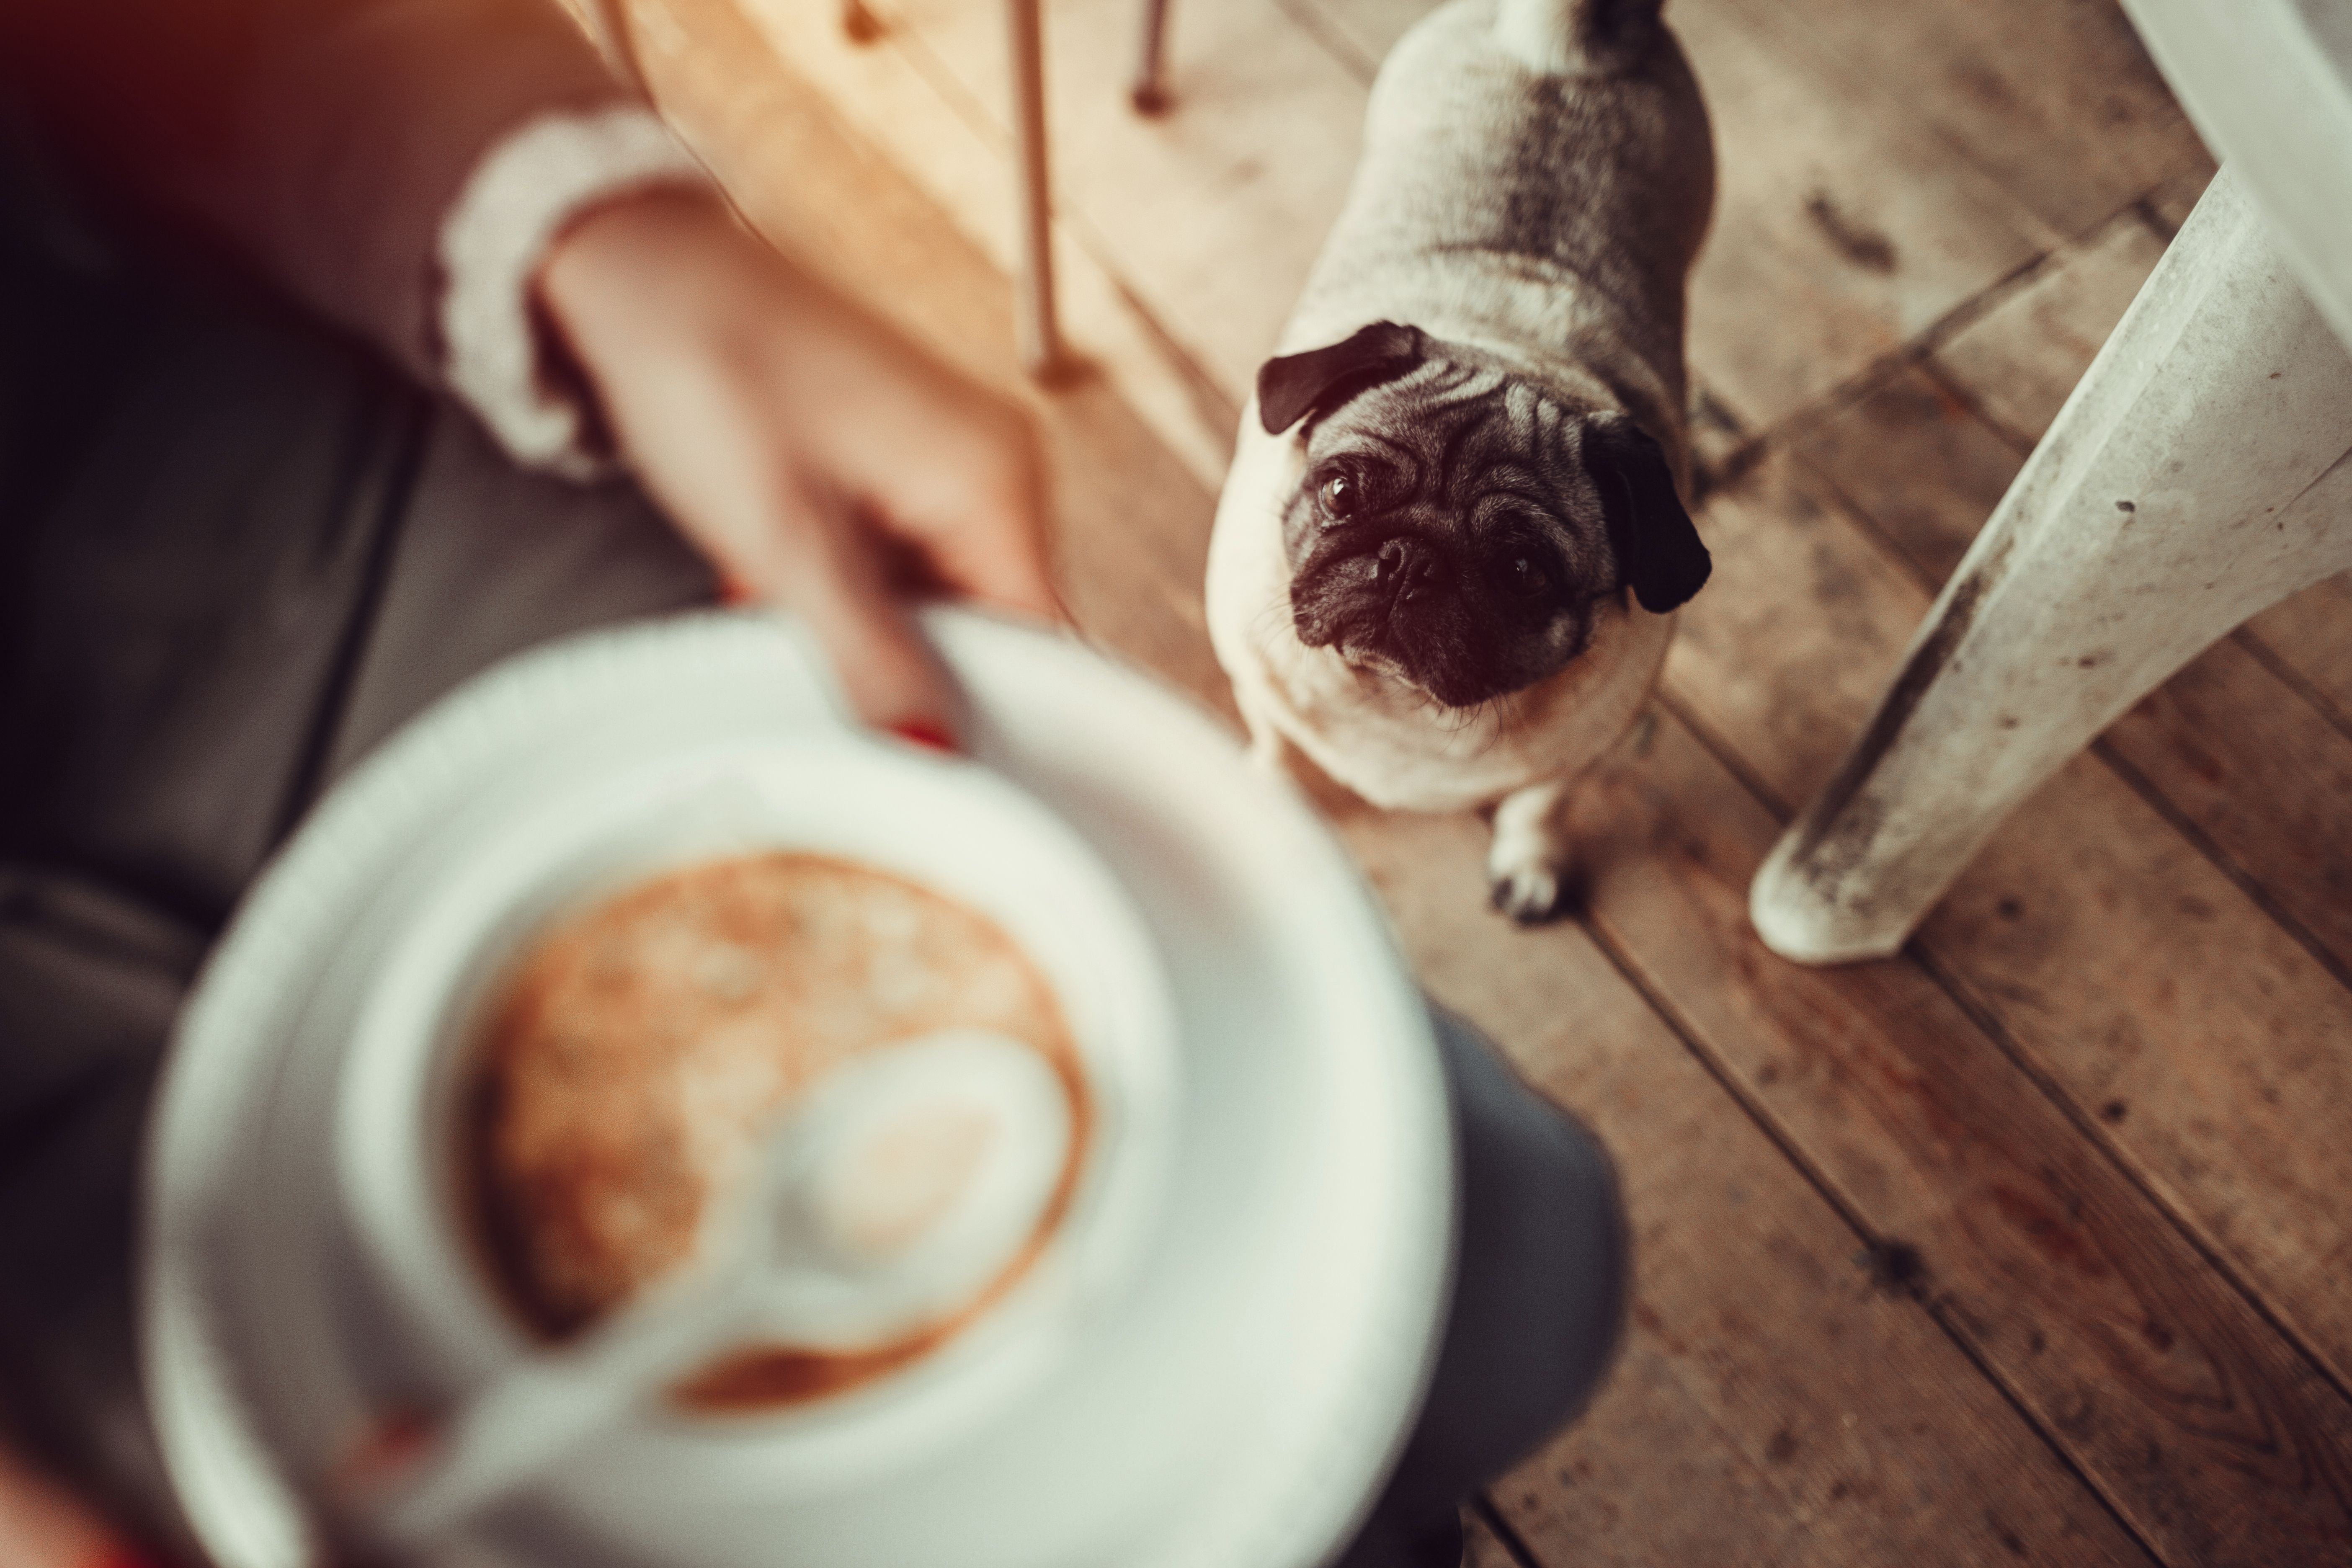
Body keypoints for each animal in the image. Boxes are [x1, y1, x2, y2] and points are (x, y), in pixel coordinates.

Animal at [1204, 0, 1721, 921]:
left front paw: (1531, 861)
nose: (1409, 560)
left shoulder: (1582, 751)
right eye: (1341, 491)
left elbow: (1538, 802)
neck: (1398, 703)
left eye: (1522, 571)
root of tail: (1561, 49)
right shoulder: (1258, 689)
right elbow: (1280, 751)